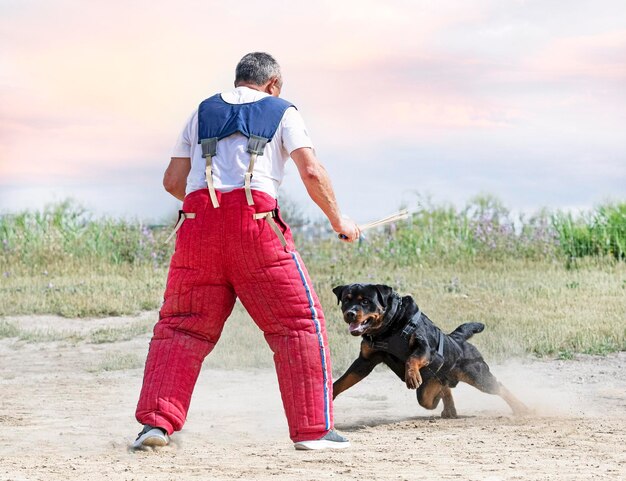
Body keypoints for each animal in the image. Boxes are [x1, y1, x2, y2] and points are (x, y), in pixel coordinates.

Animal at [332, 282, 528, 416]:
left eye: (365, 301)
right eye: (346, 300)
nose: (350, 313)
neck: (386, 330)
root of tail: (457, 339)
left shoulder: (426, 348)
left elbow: (412, 358)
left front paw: (412, 376)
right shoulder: (365, 361)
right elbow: (341, 381)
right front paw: (329, 396)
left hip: (477, 374)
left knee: (499, 387)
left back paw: (522, 408)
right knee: (438, 392)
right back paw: (448, 408)